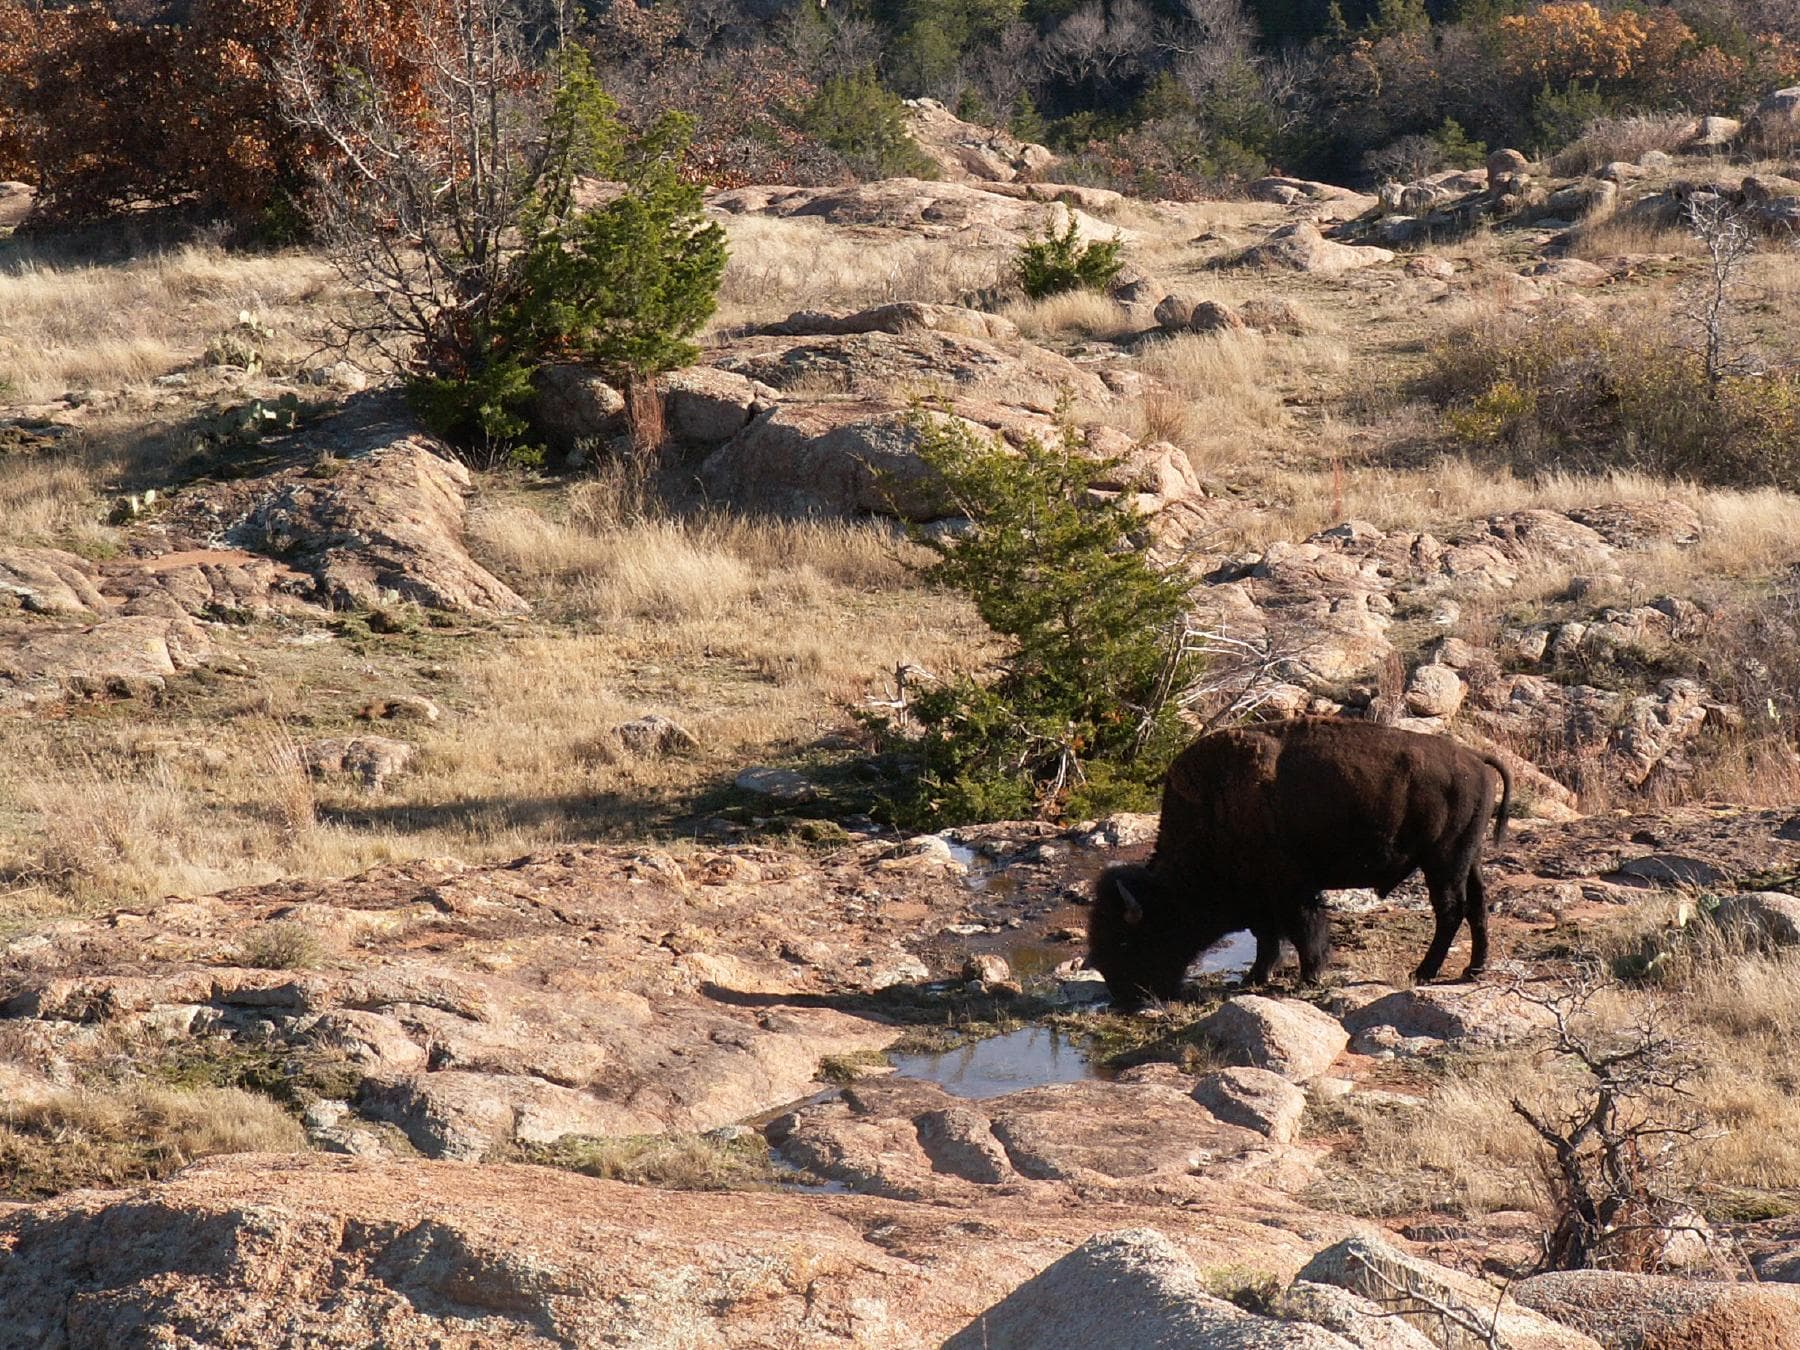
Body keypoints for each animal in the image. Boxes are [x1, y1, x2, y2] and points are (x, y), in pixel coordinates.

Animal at [1087, 717, 1512, 1008]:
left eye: (1126, 939)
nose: (1124, 996)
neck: (1215, 806)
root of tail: (1475, 758)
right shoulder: (1263, 899)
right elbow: (1268, 938)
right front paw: (1254, 978)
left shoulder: (1289, 891)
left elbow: (1302, 932)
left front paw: (1308, 978)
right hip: (1467, 859)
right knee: (1478, 907)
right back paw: (1472, 970)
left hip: (1442, 861)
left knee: (1451, 911)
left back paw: (1423, 972)